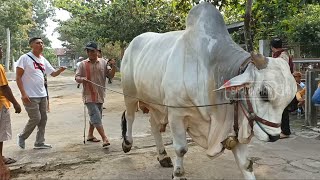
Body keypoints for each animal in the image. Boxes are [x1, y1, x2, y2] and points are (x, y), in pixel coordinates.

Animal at [120, 2, 298, 179]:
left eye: (289, 101)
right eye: (263, 93)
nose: (274, 136)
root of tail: (132, 44)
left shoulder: (233, 123)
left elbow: (246, 164)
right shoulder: (176, 114)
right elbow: (181, 149)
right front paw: (178, 173)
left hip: (156, 103)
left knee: (154, 124)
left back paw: (163, 156)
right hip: (130, 94)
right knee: (129, 116)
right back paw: (127, 143)